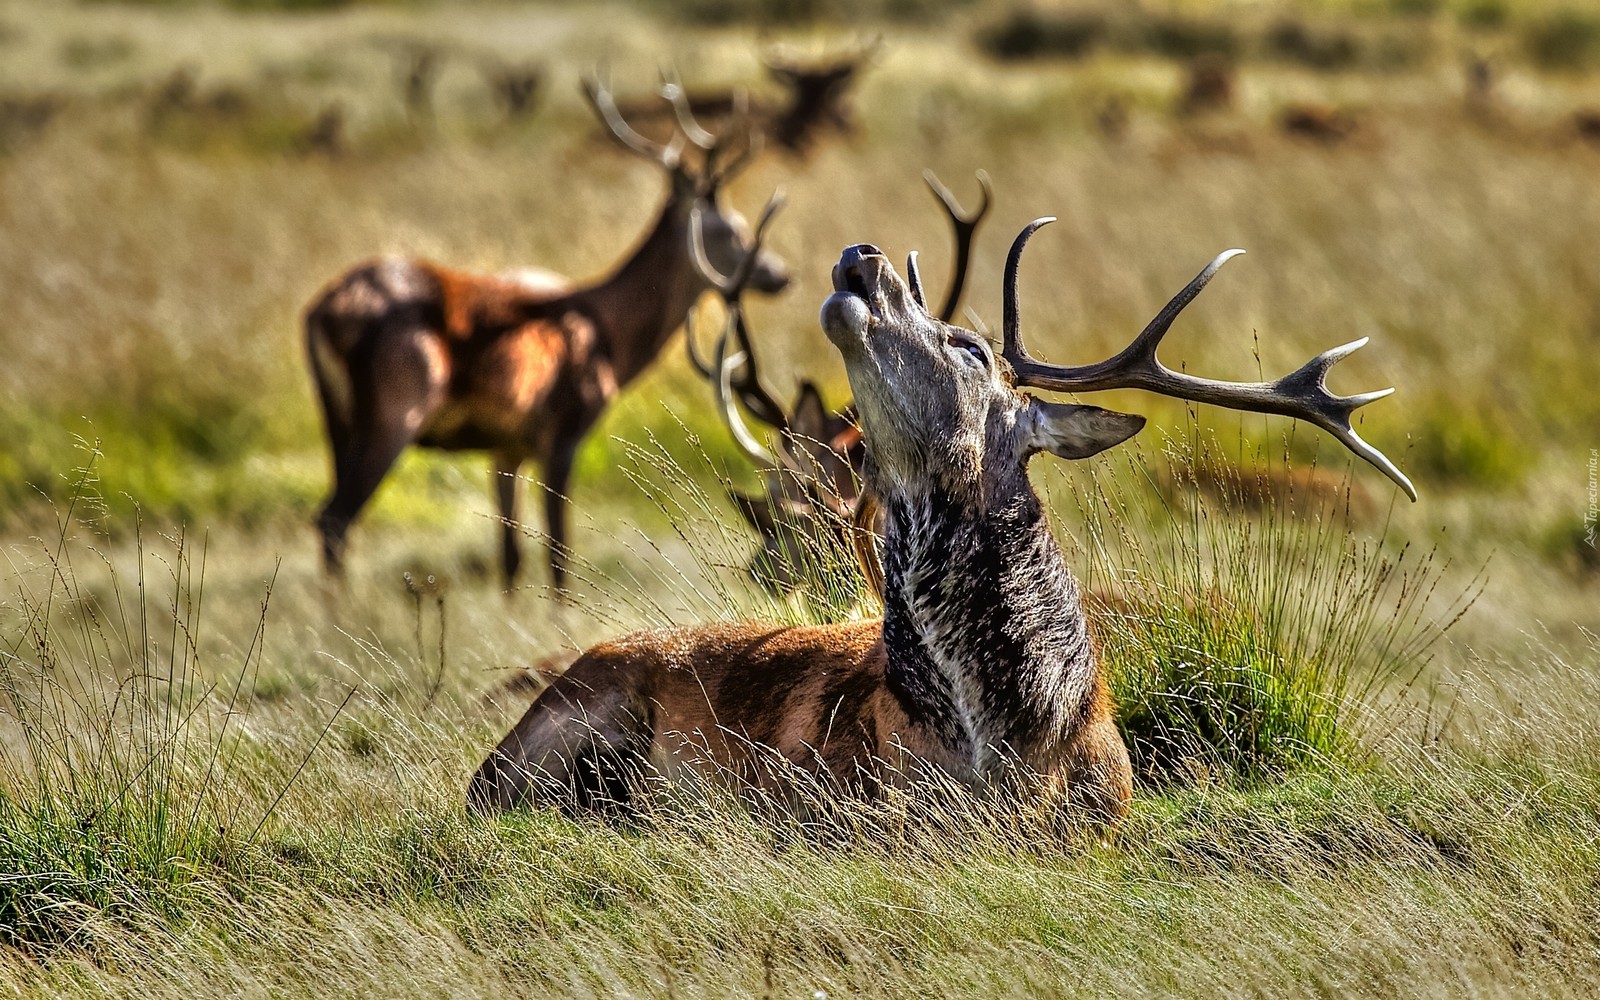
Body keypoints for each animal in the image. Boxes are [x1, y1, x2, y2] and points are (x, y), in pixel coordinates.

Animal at [302, 80, 790, 592]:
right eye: (732, 229)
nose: (780, 274)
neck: (608, 335)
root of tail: (320, 312)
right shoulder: (563, 434)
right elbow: (559, 556)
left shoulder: (507, 448)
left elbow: (511, 558)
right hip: (393, 415)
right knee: (335, 518)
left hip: (335, 418)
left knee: (329, 515)